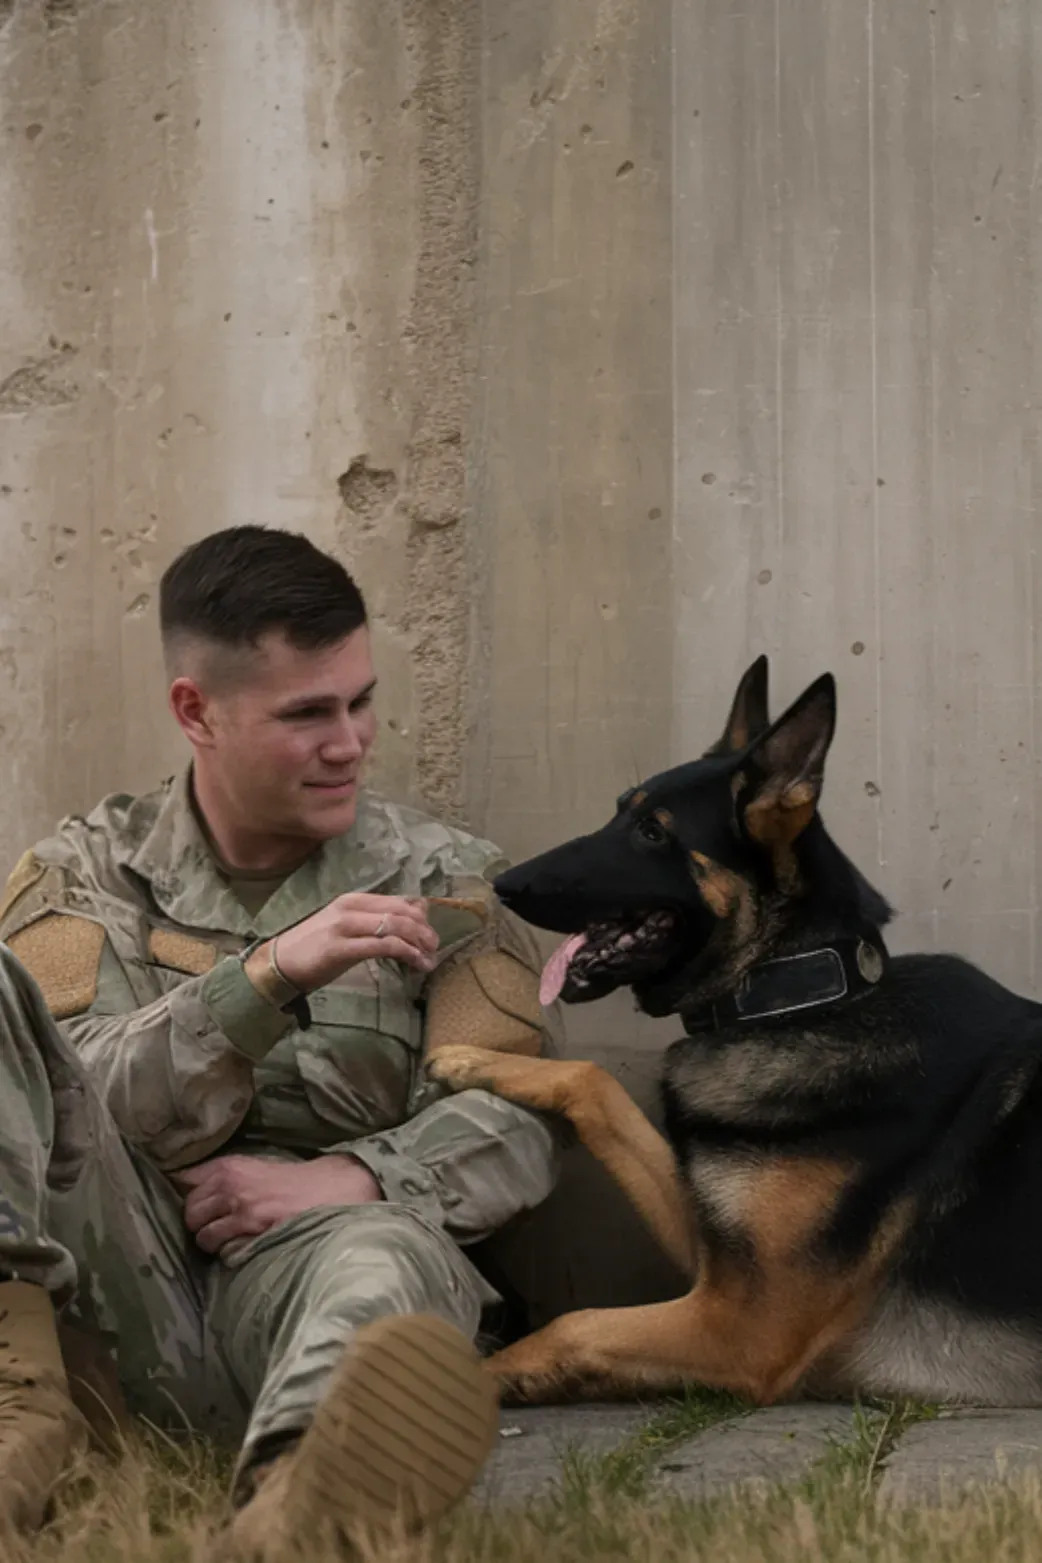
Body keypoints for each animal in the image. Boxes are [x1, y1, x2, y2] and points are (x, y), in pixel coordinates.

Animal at [428, 653, 1042, 1412]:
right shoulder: (715, 1260)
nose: (504, 882)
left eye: (654, 831)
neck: (796, 999)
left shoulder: (743, 1321)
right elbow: (594, 1082)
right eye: (619, 811)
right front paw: (468, 1057)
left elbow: (573, 1324)